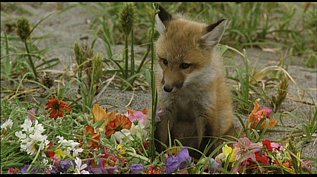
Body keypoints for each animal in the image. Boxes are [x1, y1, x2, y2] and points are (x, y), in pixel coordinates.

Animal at [154, 5, 233, 158]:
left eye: (185, 65)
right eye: (165, 61)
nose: (167, 88)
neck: (185, 94)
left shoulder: (206, 111)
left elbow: (205, 144)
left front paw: (201, 161)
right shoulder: (166, 108)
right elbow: (160, 139)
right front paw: (157, 157)